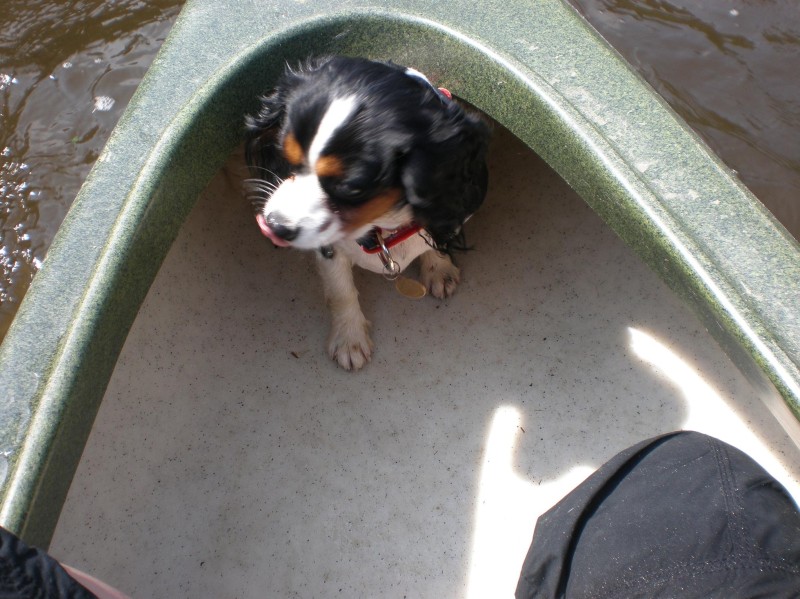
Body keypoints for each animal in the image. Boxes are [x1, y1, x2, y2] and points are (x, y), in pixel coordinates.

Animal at [245, 56, 489, 370]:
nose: (274, 225)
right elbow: (341, 291)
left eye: (351, 188)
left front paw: (439, 267)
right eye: (285, 156)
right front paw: (349, 339)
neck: (382, 225)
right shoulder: (328, 247)